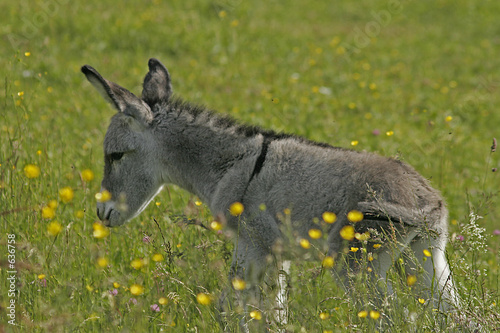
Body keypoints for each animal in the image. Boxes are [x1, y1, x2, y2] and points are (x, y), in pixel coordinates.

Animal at [81, 59, 458, 324]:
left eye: (115, 155)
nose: (102, 213)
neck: (232, 166)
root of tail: (427, 200)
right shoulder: (275, 255)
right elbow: (274, 313)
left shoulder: (252, 247)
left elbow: (230, 308)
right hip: (426, 259)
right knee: (454, 317)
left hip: (357, 268)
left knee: (391, 317)